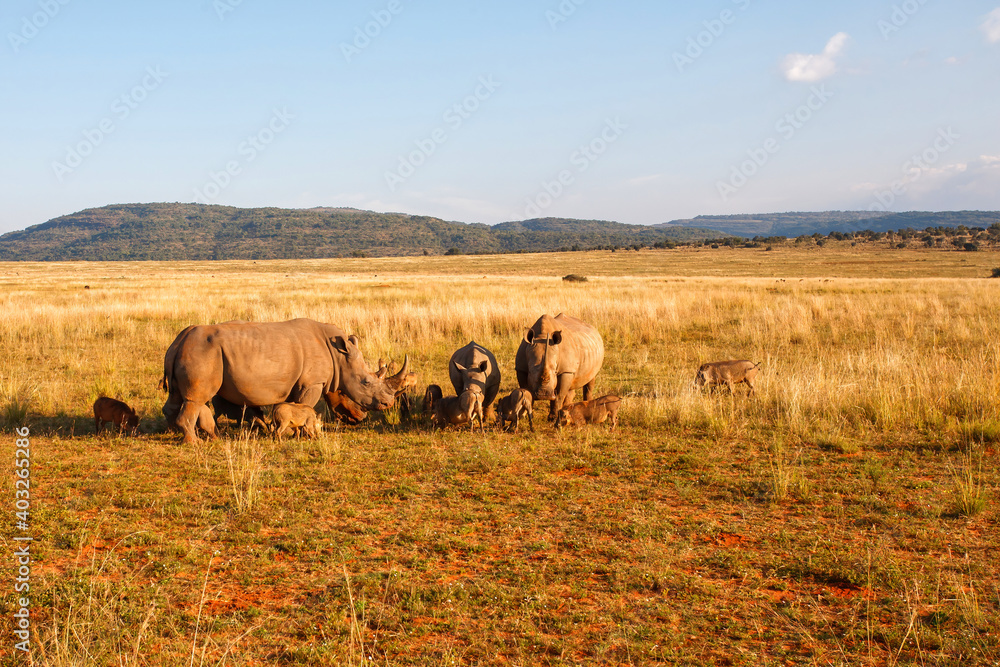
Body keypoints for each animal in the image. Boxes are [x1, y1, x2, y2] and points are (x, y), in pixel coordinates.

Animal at [161, 318, 408, 444]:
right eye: (366, 383)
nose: (388, 404)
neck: (339, 357)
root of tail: (180, 340)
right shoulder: (312, 383)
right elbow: (305, 406)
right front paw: (296, 433)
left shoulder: (299, 381)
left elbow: (289, 406)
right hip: (203, 353)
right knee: (195, 399)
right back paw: (195, 442)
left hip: (186, 351)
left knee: (177, 397)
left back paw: (175, 432)